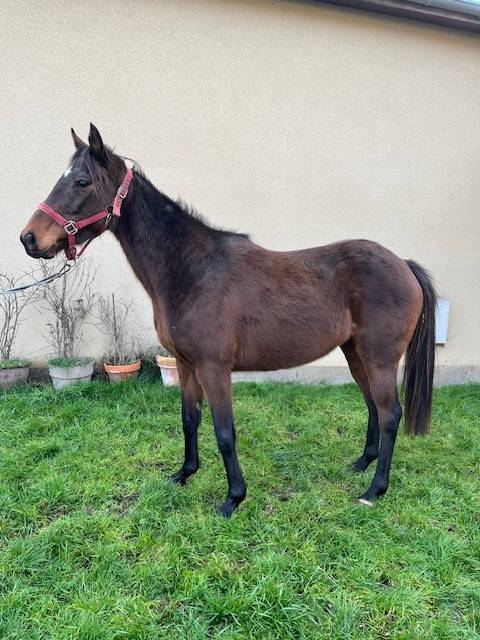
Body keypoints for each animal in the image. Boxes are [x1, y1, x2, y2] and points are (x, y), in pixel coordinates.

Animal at [20, 124, 436, 517]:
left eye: (82, 181)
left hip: (379, 357)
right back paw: (361, 464)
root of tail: (404, 265)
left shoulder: (213, 367)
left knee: (390, 414)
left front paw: (233, 498)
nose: (29, 238)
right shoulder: (185, 365)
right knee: (372, 406)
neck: (193, 271)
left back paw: (374, 490)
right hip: (354, 353)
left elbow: (224, 431)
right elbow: (189, 419)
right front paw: (184, 473)